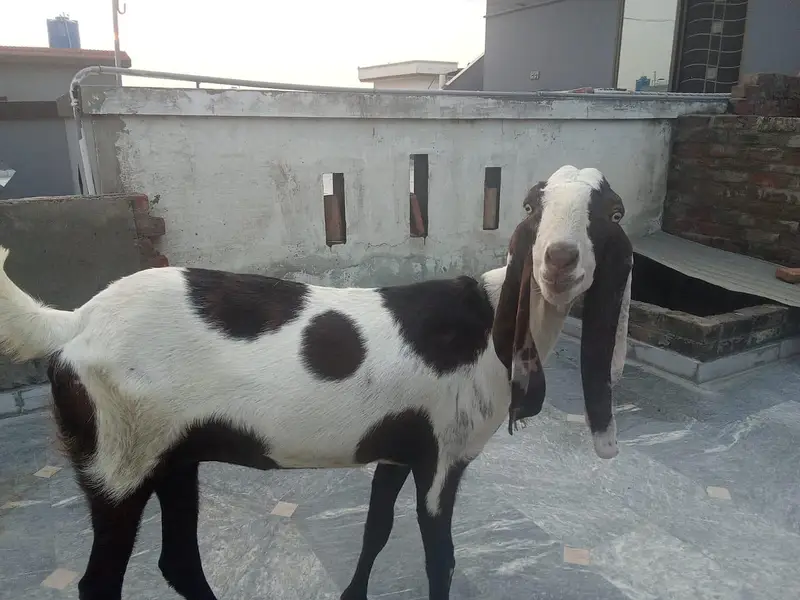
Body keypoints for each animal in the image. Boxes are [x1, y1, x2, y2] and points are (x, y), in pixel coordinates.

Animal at [0, 165, 632, 600]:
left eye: (612, 213)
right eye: (531, 205)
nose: (559, 260)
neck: (489, 315)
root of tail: (78, 321)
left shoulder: (397, 452)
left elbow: (376, 530)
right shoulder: (443, 457)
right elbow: (440, 558)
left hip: (170, 456)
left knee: (176, 561)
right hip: (118, 464)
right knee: (100, 580)